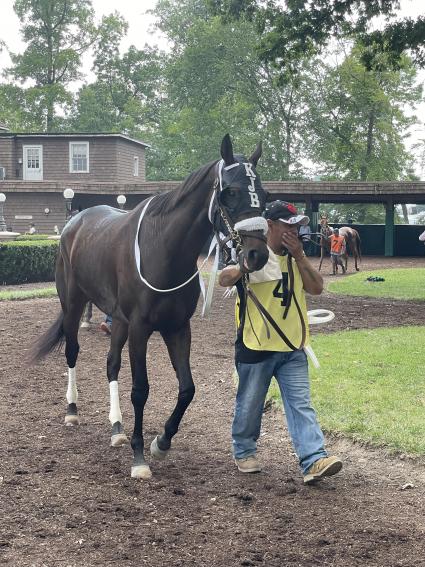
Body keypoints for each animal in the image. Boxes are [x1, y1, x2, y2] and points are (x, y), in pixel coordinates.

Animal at [29, 135, 268, 482]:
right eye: (231, 192)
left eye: (263, 194)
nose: (256, 255)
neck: (164, 249)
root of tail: (75, 222)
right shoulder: (141, 328)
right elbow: (140, 389)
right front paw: (139, 456)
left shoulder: (177, 327)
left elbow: (187, 388)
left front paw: (162, 441)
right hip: (73, 304)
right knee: (72, 352)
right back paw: (72, 410)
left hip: (119, 321)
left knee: (111, 364)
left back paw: (117, 427)